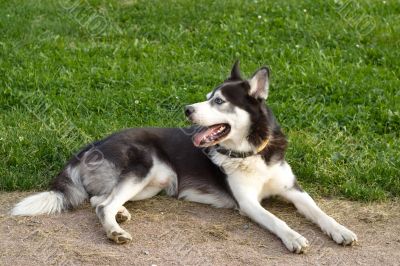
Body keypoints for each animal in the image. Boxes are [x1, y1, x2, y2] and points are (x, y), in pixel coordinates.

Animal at [10, 61, 358, 254]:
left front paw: (341, 231)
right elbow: (277, 219)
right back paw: (115, 230)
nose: (187, 109)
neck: (251, 150)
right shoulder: (248, 203)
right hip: (144, 166)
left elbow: (320, 212)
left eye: (218, 101)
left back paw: (121, 214)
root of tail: (91, 144)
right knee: (102, 205)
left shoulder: (294, 190)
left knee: (99, 201)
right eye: (206, 98)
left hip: (152, 184)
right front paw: (294, 237)